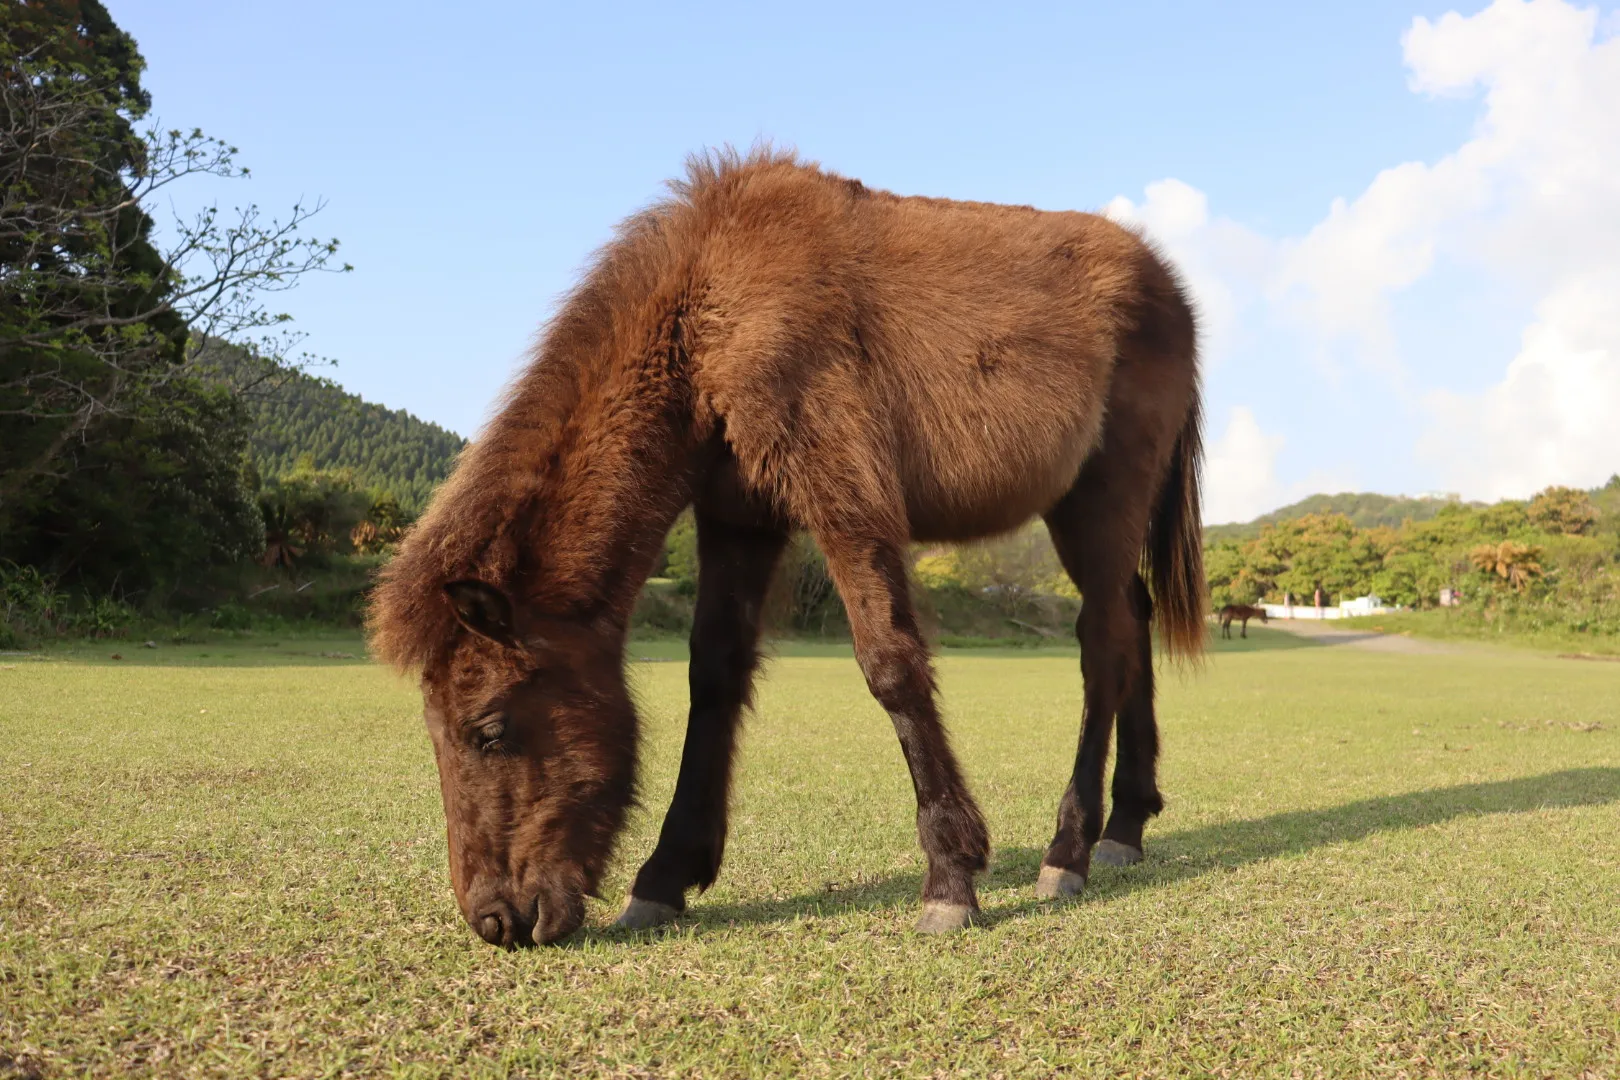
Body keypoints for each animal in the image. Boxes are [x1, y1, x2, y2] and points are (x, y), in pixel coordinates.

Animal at [368, 150, 1206, 947]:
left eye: (490, 730)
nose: (495, 920)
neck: (716, 312)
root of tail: (1167, 284)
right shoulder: (740, 521)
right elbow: (715, 676)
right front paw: (664, 876)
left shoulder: (845, 502)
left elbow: (891, 668)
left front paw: (950, 878)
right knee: (1130, 623)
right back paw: (1125, 825)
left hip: (1103, 500)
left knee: (1102, 648)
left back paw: (1069, 850)